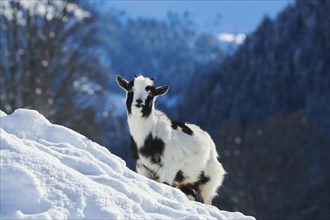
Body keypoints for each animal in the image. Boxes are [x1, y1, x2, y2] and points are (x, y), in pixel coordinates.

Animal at [115, 74, 224, 205]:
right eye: (131, 89)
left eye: (151, 94)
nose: (139, 102)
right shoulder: (142, 167)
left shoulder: (169, 167)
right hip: (185, 181)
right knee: (193, 196)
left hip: (210, 178)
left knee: (207, 199)